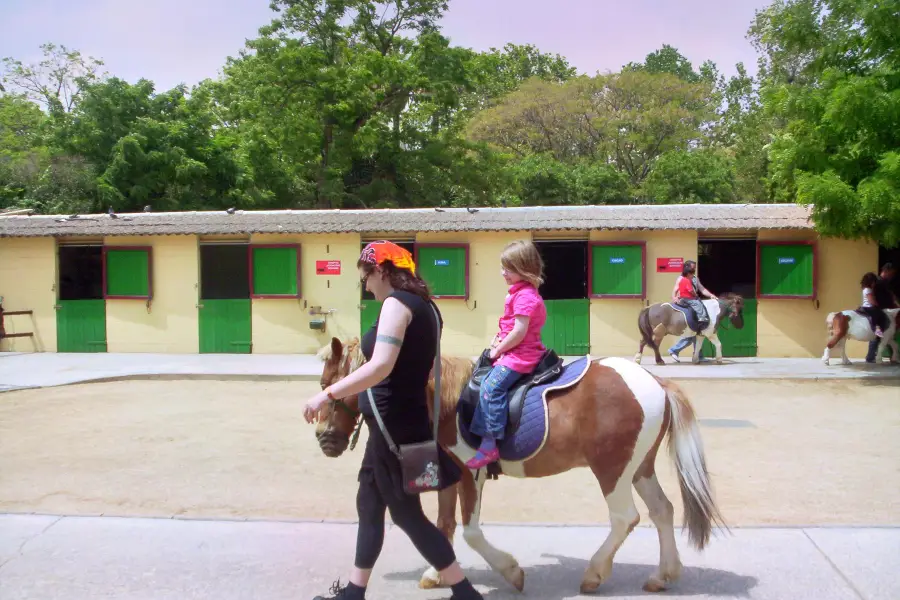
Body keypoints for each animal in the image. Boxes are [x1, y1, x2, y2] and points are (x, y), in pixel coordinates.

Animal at [312, 338, 728, 596]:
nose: (324, 439)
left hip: (612, 469)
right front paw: (436, 574)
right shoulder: (448, 472)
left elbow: (471, 532)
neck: (443, 400)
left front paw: (510, 572)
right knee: (663, 511)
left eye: (331, 385)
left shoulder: (472, 473)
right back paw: (662, 575)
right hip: (639, 468)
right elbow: (444, 525)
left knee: (626, 518)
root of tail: (655, 382)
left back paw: (594, 574)